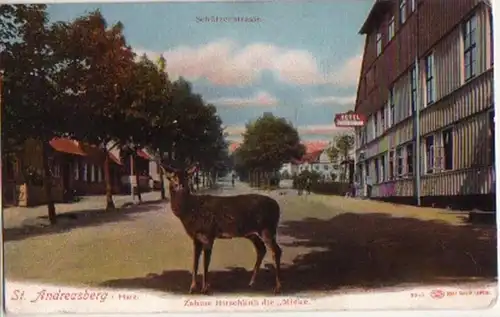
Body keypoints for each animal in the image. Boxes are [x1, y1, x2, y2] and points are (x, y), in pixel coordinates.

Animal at [161, 163, 284, 294]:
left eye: (186, 176)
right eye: (172, 177)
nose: (180, 185)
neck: (191, 210)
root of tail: (277, 206)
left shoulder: (208, 234)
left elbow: (205, 263)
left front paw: (205, 289)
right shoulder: (196, 238)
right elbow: (195, 262)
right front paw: (192, 288)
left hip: (268, 229)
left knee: (277, 250)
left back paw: (277, 287)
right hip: (252, 233)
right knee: (261, 249)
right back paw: (251, 283)